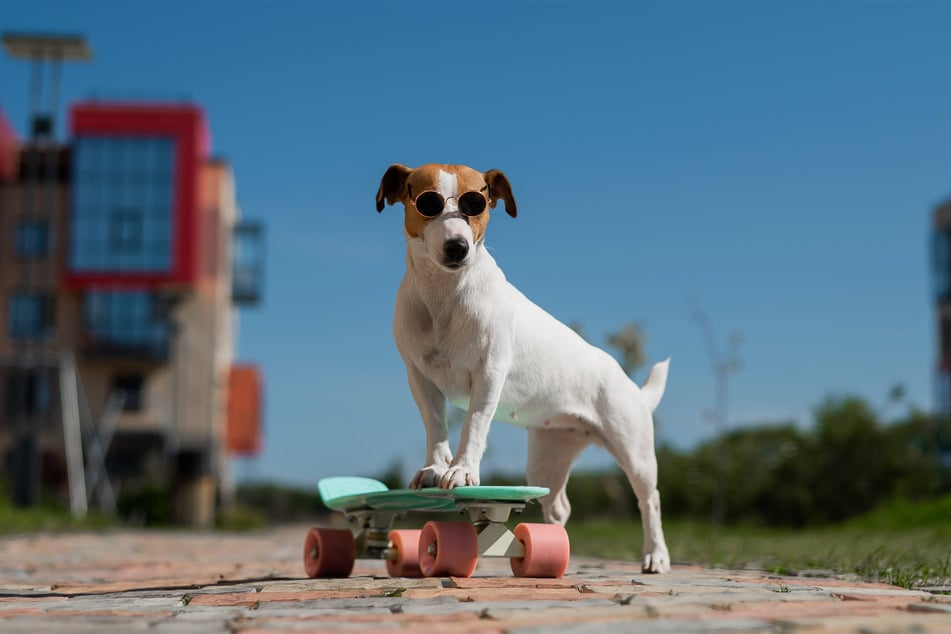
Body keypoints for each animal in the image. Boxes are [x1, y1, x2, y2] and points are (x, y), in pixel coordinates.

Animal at [376, 160, 672, 572]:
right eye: (427, 203)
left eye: (475, 203)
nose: (457, 246)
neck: (445, 293)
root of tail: (631, 385)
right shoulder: (419, 377)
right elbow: (435, 427)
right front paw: (435, 467)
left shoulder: (489, 372)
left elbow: (473, 425)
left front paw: (462, 469)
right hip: (549, 457)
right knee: (559, 505)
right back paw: (555, 545)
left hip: (634, 450)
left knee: (650, 499)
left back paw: (655, 556)